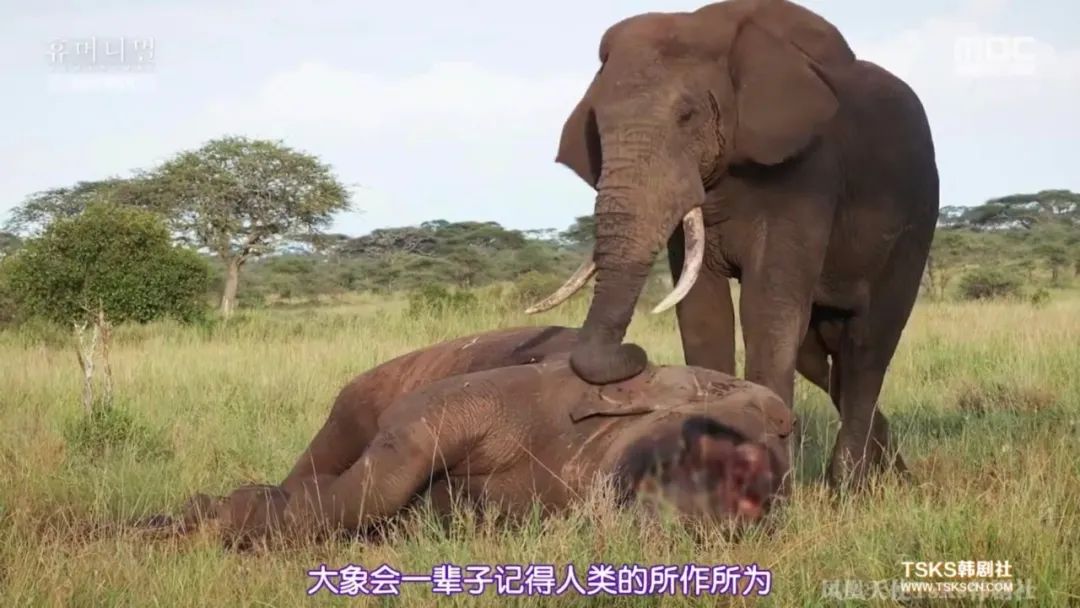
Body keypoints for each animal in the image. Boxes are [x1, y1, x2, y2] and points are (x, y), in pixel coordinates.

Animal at [140, 327, 793, 548]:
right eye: (708, 440)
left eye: (771, 491)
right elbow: (394, 462)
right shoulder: (502, 398)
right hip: (352, 404)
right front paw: (209, 517)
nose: (739, 508)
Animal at [526, 0, 938, 486]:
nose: (635, 353)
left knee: (867, 346)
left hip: (917, 216)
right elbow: (702, 310)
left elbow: (766, 311)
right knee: (817, 354)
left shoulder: (808, 171)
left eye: (687, 116)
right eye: (597, 127)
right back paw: (892, 472)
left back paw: (849, 485)